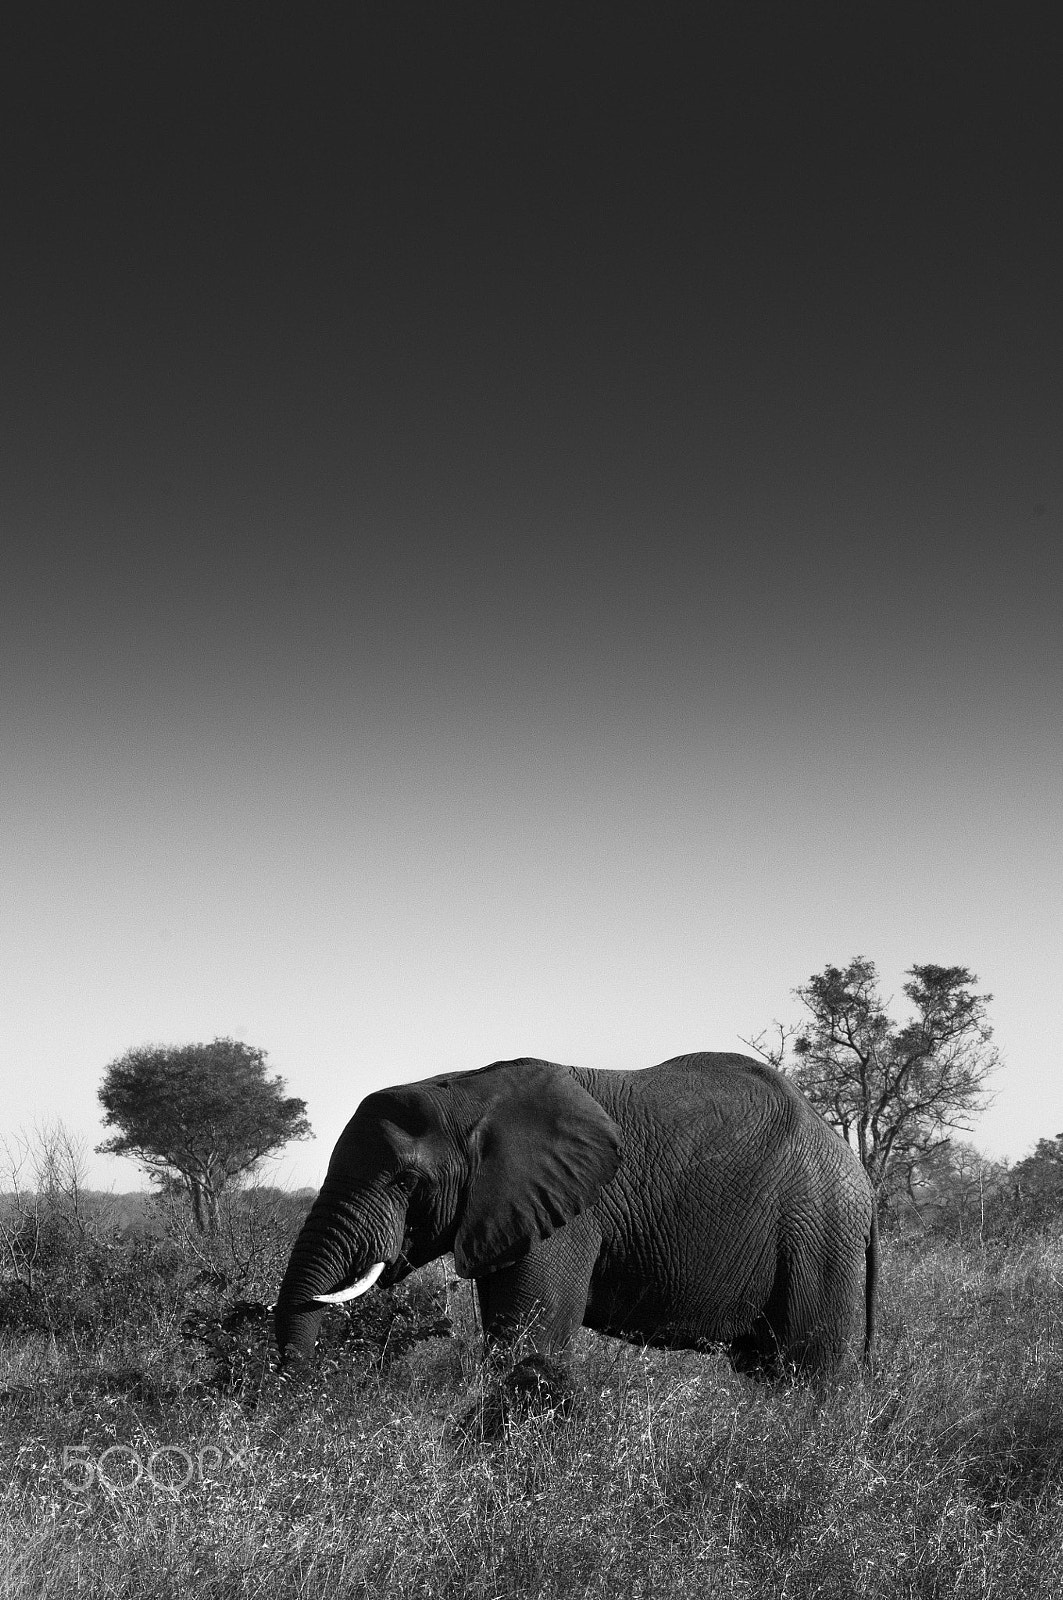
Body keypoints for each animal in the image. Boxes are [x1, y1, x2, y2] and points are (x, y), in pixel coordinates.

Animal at [275, 1053, 878, 1384]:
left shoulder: (566, 1211)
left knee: (800, 1371)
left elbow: (530, 1339)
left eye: (406, 1181)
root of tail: (861, 1176)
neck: (465, 1089)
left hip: (819, 1234)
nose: (293, 1394)